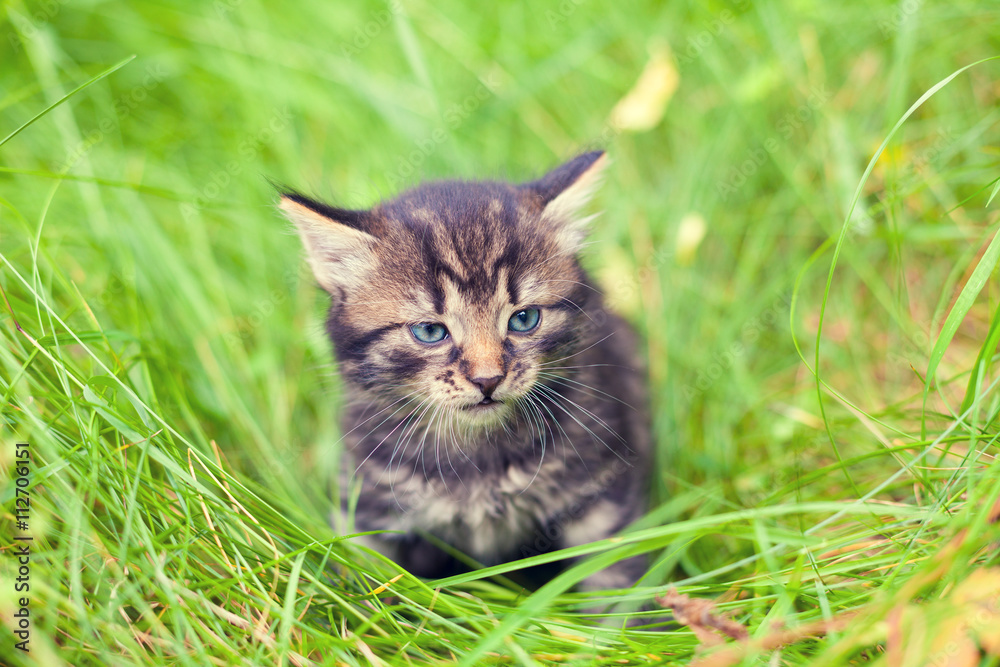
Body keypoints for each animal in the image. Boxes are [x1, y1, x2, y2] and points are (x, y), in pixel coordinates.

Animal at [278, 151, 652, 596]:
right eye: (430, 331)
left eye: (524, 319)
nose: (488, 379)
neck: (479, 458)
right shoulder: (367, 506)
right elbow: (366, 585)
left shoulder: (603, 496)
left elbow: (617, 585)